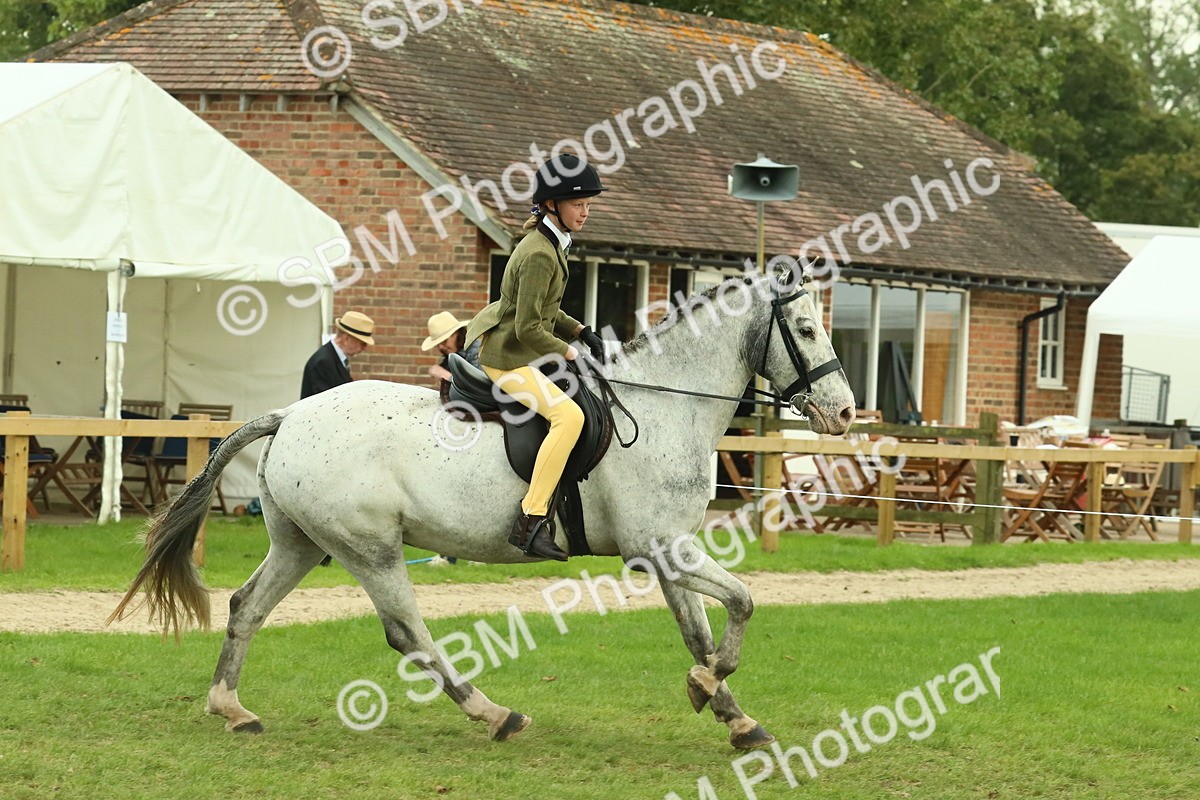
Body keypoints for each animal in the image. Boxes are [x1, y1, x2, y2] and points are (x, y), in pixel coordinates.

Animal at [111, 271, 855, 750]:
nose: (846, 413)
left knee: (247, 607)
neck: (666, 404)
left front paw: (732, 714)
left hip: (301, 542)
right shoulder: (660, 548)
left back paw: (231, 708)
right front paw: (711, 689)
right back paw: (494, 714)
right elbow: (743, 603)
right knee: (407, 633)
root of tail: (289, 415)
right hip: (370, 547)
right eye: (808, 328)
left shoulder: (667, 550)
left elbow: (701, 630)